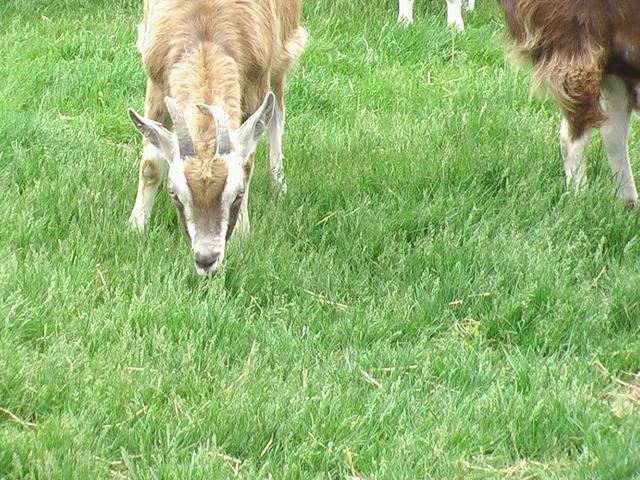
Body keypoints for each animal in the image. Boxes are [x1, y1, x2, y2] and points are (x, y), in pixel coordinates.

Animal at [127, 0, 307, 275]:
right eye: (174, 193)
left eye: (238, 193)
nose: (206, 259)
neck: (205, 34)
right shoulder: (156, 82)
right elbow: (151, 165)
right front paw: (136, 226)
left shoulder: (256, 83)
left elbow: (248, 161)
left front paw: (243, 232)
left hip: (283, 51)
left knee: (277, 110)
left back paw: (277, 184)